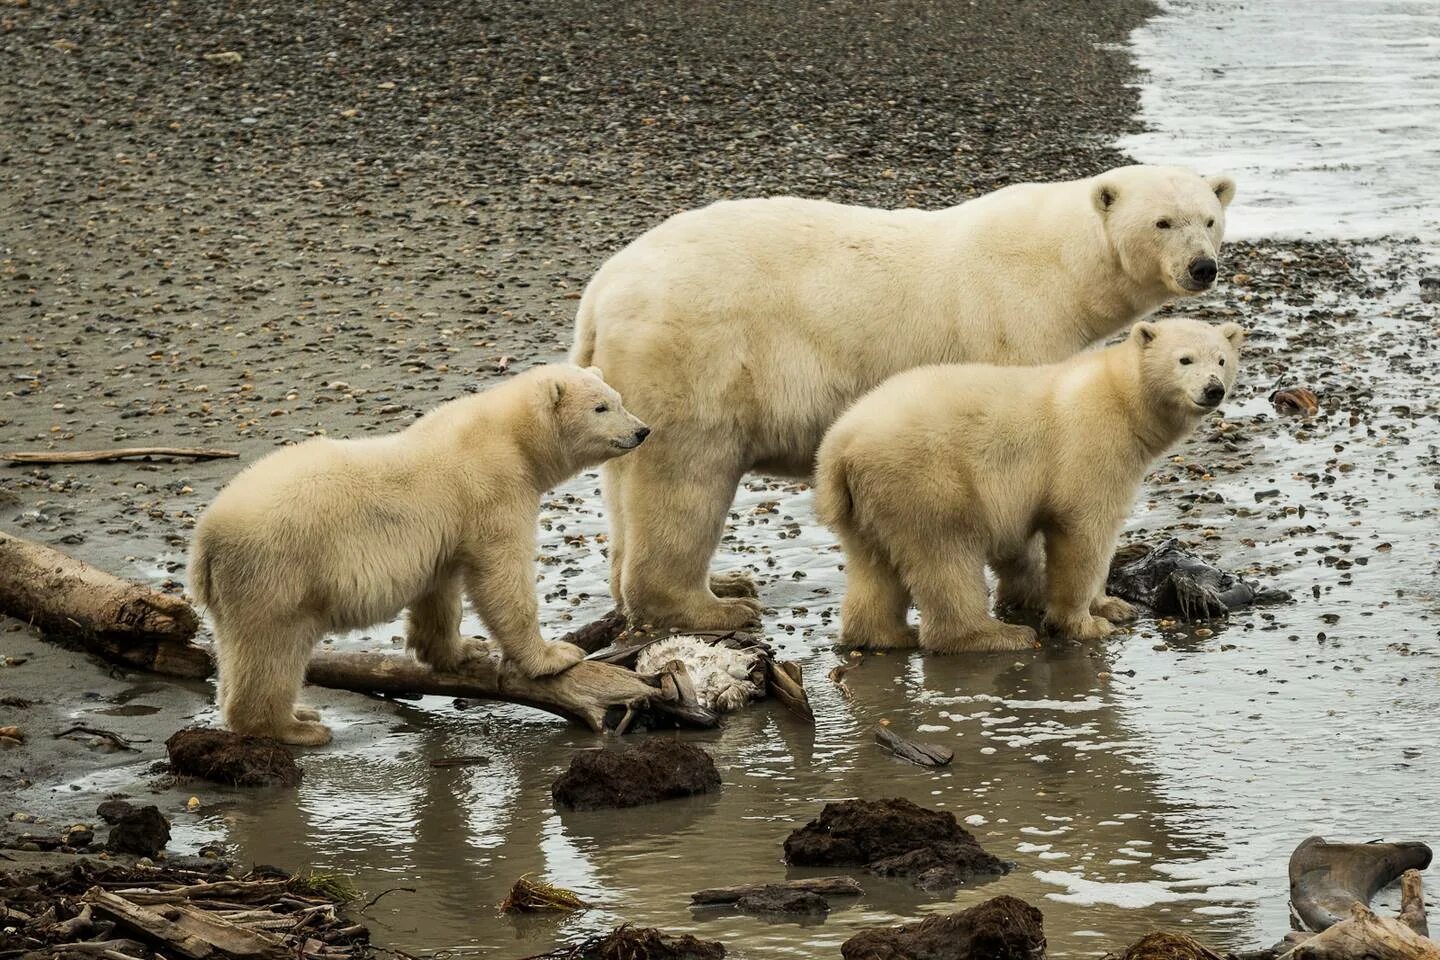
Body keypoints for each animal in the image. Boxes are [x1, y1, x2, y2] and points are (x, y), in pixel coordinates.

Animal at [188, 364, 650, 748]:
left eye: (618, 398)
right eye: (601, 406)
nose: (642, 431)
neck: (510, 435)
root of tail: (206, 538)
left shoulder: (444, 530)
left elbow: (439, 591)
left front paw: (462, 651)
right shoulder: (493, 490)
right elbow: (500, 575)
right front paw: (554, 656)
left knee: (238, 650)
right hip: (278, 571)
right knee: (274, 650)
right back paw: (296, 726)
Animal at [817, 320, 1244, 653]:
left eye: (1221, 359)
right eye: (1184, 359)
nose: (1213, 389)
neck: (1122, 398)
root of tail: (840, 446)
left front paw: (1112, 606)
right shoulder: (1090, 445)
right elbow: (1084, 531)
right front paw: (1086, 623)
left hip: (866, 500)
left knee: (872, 563)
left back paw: (885, 635)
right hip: (926, 478)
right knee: (947, 554)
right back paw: (995, 635)